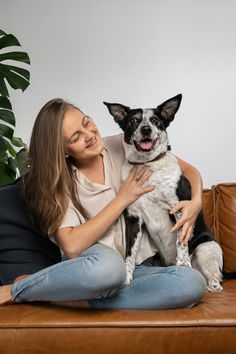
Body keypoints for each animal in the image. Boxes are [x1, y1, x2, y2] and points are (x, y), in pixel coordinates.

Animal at [104, 94, 223, 290]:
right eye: (134, 120)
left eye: (155, 120)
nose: (145, 129)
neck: (147, 165)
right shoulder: (133, 219)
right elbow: (130, 253)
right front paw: (127, 276)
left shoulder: (180, 210)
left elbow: (181, 242)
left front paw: (183, 265)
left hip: (205, 248)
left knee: (215, 283)